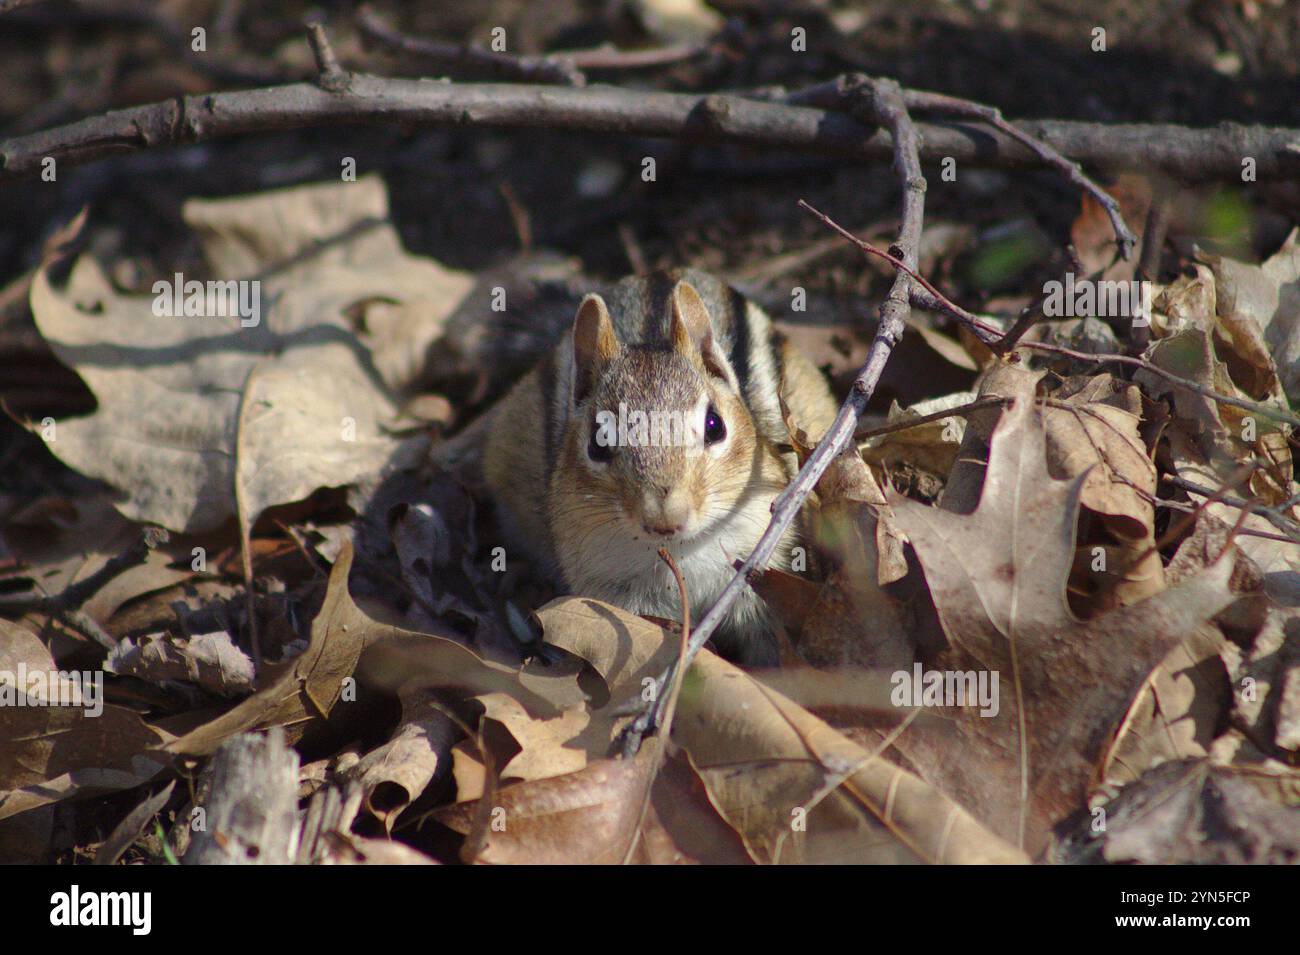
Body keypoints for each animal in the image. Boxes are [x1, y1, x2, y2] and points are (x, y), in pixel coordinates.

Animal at [479, 269, 837, 665]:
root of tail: (658, 273)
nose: (665, 520)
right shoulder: (619, 593)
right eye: (597, 443)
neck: (685, 551)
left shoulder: (764, 570)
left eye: (715, 426)